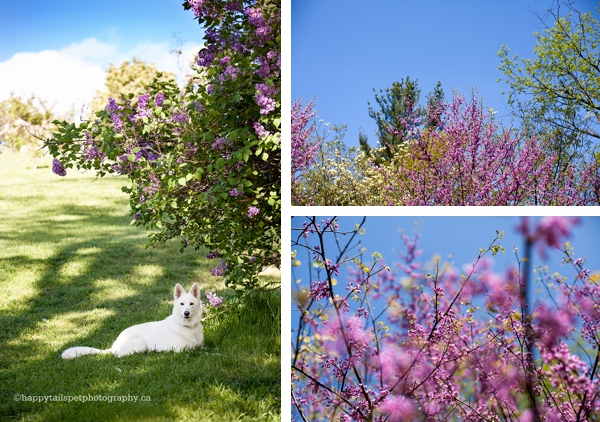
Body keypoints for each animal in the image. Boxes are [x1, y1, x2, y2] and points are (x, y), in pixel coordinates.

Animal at [61, 284, 204, 360]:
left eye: (191, 304)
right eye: (182, 304)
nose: (186, 313)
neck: (188, 327)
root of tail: (114, 346)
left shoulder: (201, 346)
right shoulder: (181, 350)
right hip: (140, 343)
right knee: (119, 355)